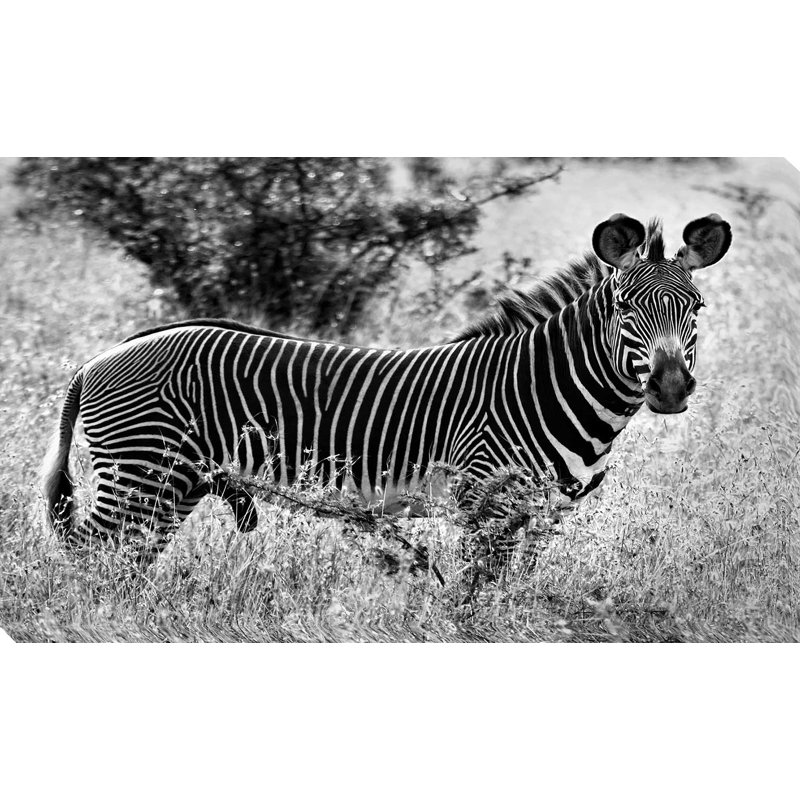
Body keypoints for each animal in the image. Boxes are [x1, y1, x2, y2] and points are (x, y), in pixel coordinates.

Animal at [42, 213, 731, 563]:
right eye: (624, 307)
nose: (671, 388)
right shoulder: (485, 502)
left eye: (696, 308)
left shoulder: (539, 515)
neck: (544, 384)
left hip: (174, 484)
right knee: (91, 561)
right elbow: (477, 600)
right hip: (140, 473)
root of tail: (103, 355)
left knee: (123, 564)